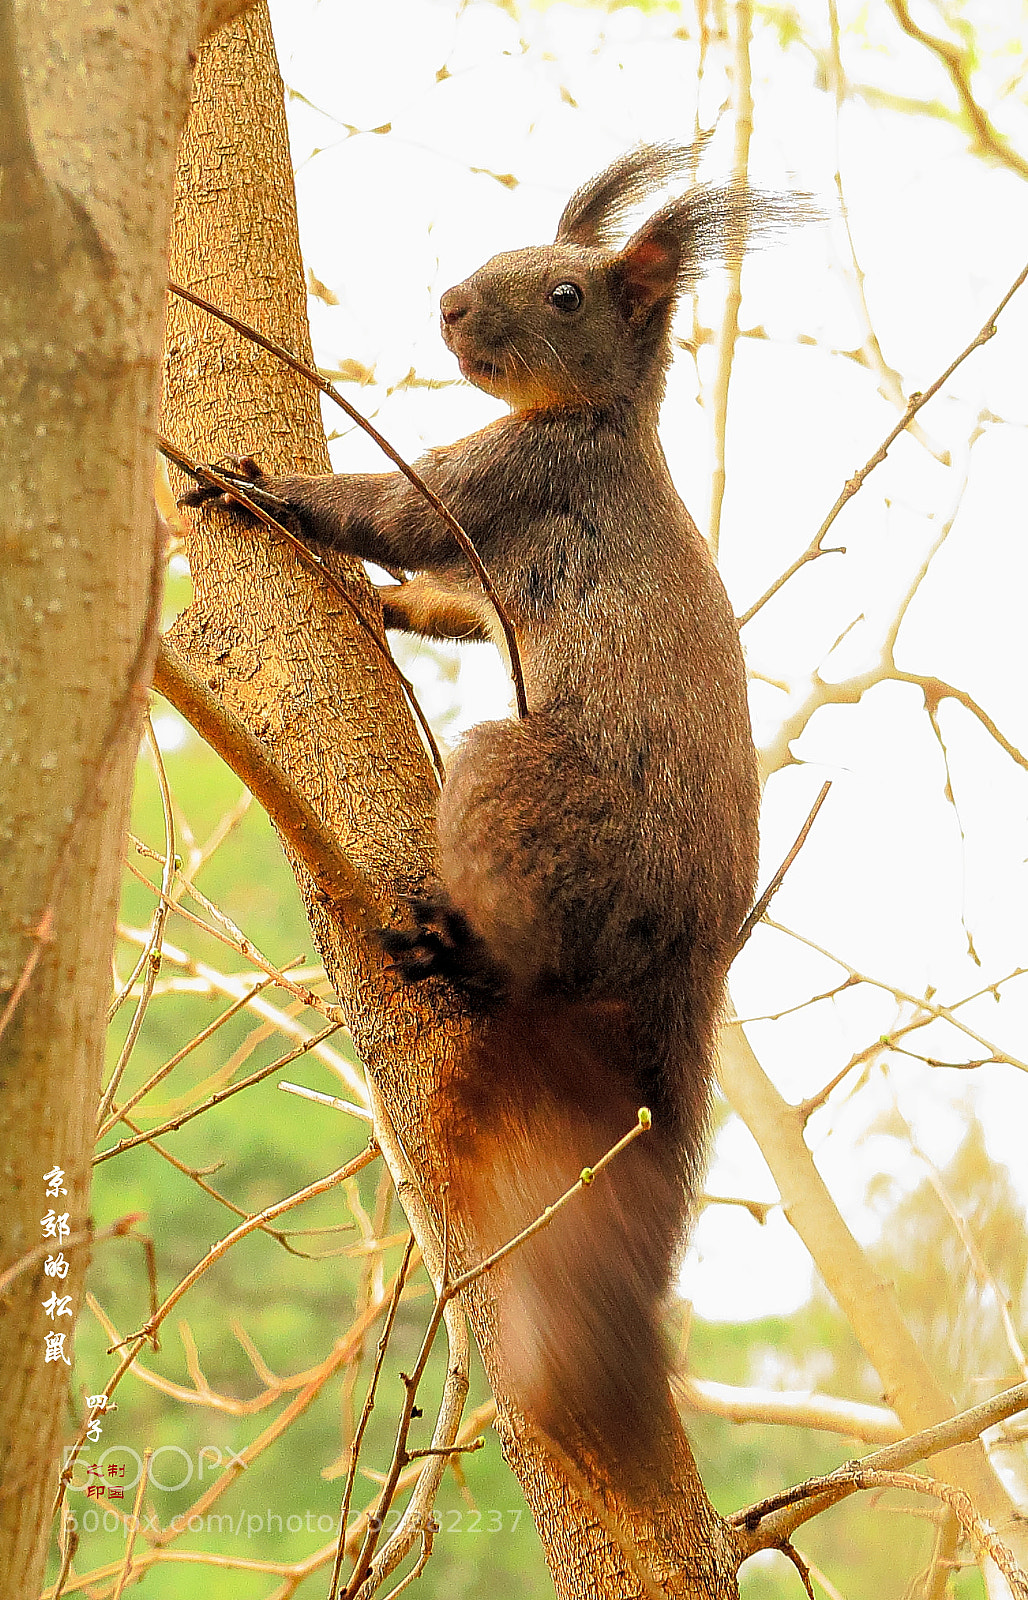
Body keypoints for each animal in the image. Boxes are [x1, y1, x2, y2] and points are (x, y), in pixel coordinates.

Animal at [184, 143, 798, 1491]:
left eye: (566, 294)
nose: (454, 303)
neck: (594, 423)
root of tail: (693, 959)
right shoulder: (485, 562)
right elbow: (441, 599)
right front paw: (379, 605)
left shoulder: (505, 484)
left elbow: (387, 510)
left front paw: (256, 493)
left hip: (526, 796)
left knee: (526, 954)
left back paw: (449, 950)